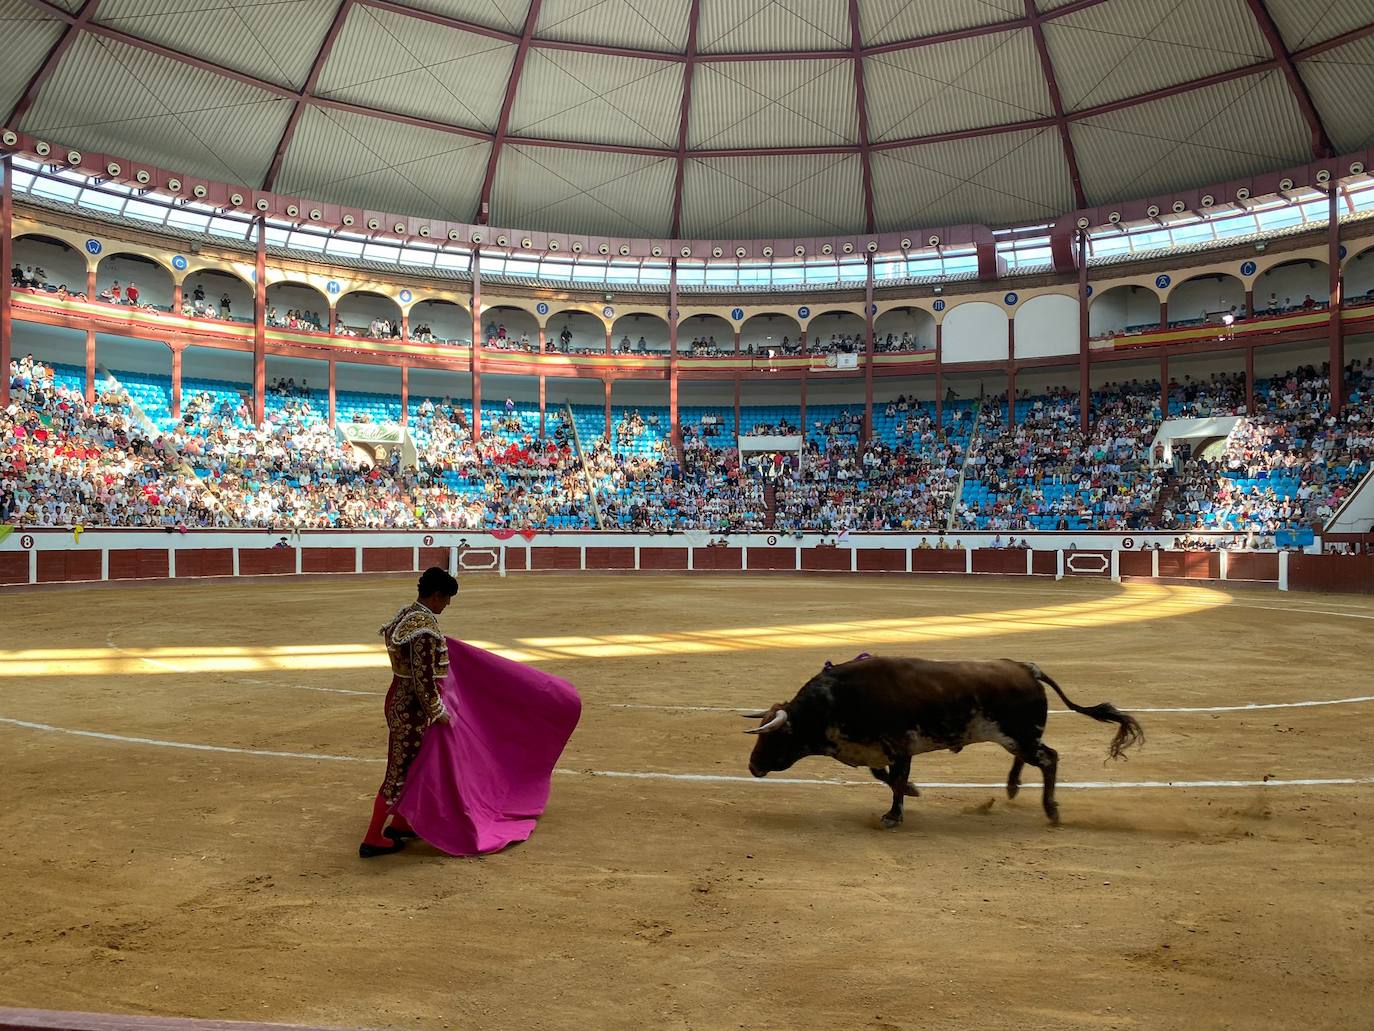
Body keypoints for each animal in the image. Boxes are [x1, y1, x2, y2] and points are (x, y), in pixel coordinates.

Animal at [747, 654, 1143, 830]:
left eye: (775, 735)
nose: (752, 766)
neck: (834, 702)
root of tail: (1025, 667)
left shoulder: (900, 746)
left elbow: (895, 780)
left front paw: (894, 816)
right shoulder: (878, 749)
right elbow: (885, 776)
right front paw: (912, 792)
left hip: (1019, 735)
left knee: (1049, 758)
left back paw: (1051, 810)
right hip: (1017, 738)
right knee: (1034, 757)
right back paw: (1013, 787)